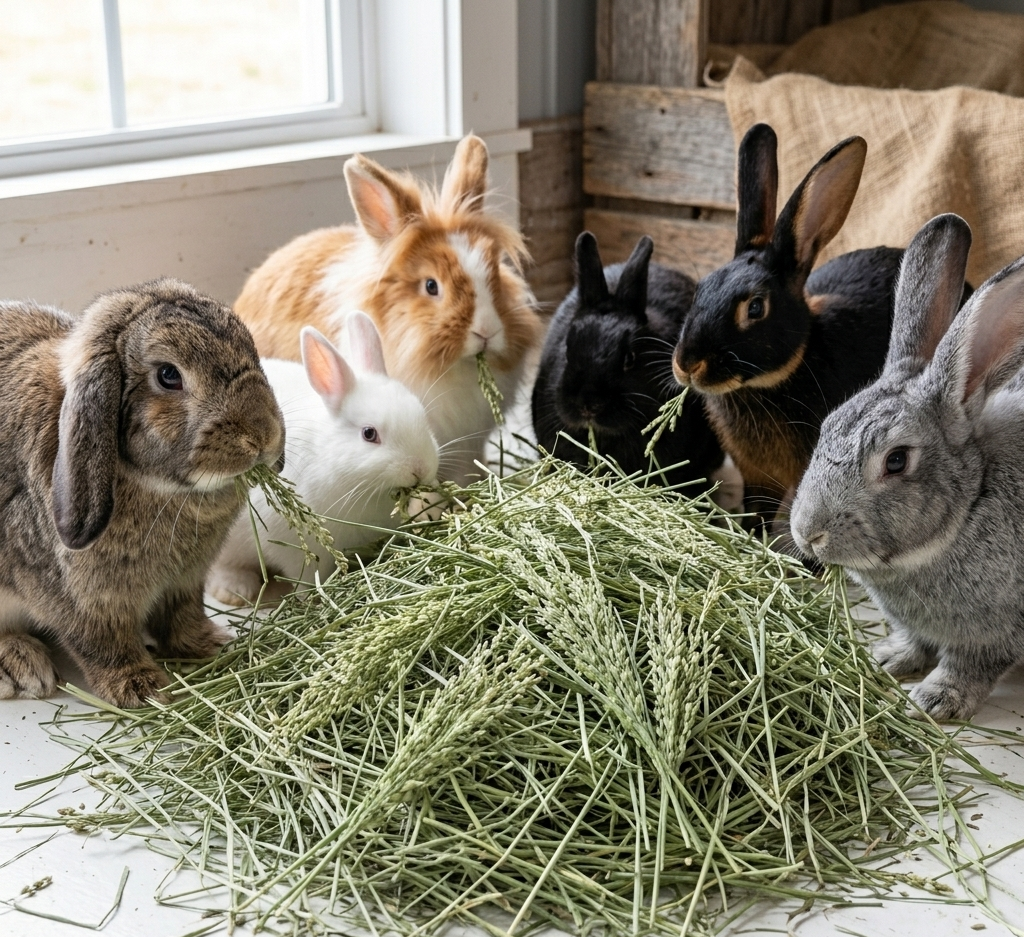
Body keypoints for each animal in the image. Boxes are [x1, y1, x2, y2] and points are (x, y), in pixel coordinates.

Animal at [0, 279, 285, 708]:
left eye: (251, 348)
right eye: (168, 375)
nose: (263, 436)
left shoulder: (184, 583)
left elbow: (183, 617)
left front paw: (212, 644)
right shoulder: (83, 601)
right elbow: (103, 644)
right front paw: (143, 689)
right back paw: (23, 667)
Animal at [209, 312, 439, 607]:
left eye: (422, 417)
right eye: (369, 434)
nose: (420, 469)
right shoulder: (298, 549)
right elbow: (307, 576)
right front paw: (312, 600)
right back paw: (234, 591)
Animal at [790, 213, 1024, 721]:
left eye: (896, 461)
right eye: (826, 426)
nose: (807, 533)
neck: (971, 505)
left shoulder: (992, 637)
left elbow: (969, 666)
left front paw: (934, 700)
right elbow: (915, 640)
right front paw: (887, 658)